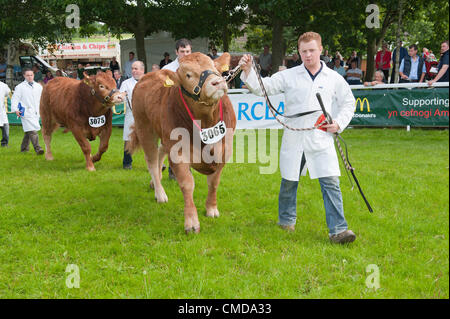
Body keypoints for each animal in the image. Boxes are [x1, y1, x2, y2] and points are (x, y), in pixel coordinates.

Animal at [127, 52, 236, 232]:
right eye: (188, 75)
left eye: (214, 67)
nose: (217, 82)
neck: (206, 120)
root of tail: (147, 76)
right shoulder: (177, 152)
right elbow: (187, 184)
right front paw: (191, 222)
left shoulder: (224, 149)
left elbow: (214, 182)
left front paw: (211, 208)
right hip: (145, 129)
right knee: (151, 162)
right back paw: (160, 193)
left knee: (160, 153)